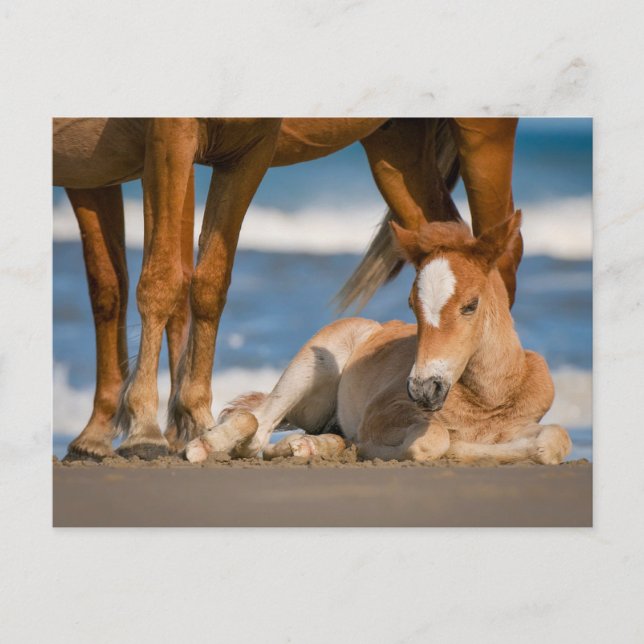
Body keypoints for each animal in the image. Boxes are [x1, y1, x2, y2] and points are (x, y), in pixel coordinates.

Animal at [53, 117, 519, 460]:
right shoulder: (95, 168)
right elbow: (113, 286)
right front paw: (105, 433)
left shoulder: (228, 143)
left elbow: (173, 279)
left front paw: (149, 430)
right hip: (397, 147)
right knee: (450, 238)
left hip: (482, 133)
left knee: (502, 255)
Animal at [185, 211, 571, 465]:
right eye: (412, 304)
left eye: (470, 305)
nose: (423, 389)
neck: (488, 398)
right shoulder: (382, 413)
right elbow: (436, 439)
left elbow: (555, 440)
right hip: (315, 362)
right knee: (256, 425)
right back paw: (204, 447)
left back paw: (313, 447)